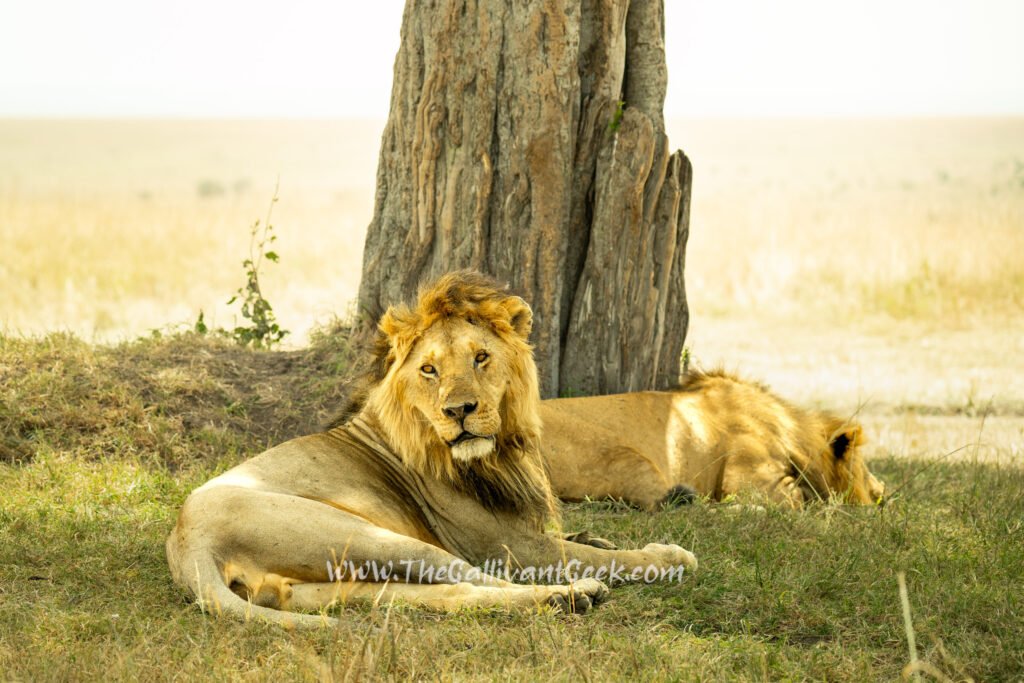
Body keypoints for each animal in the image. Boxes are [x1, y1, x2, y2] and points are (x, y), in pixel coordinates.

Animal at [166, 271, 697, 627]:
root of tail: (186, 541)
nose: (459, 410)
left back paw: (559, 600)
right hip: (365, 533)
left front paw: (596, 536)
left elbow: (585, 541)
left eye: (481, 357)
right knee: (478, 578)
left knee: (450, 593)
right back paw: (573, 593)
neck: (500, 452)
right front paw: (664, 555)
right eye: (429, 369)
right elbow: (601, 556)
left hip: (325, 586)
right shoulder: (510, 545)